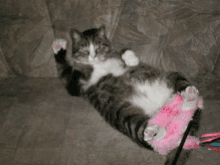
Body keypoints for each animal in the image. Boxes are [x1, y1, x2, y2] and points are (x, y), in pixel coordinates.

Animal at [51, 25, 201, 164]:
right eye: (84, 49)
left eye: (99, 47)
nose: (93, 56)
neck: (97, 64)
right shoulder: (75, 85)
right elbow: (65, 72)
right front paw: (58, 47)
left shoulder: (113, 54)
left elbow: (123, 49)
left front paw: (131, 60)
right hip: (128, 119)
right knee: (156, 140)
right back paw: (155, 130)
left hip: (173, 76)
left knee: (194, 106)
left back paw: (189, 98)